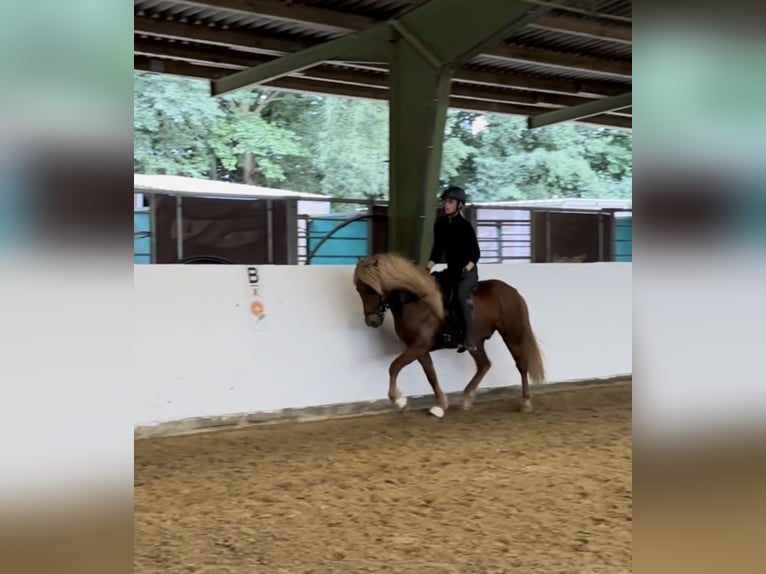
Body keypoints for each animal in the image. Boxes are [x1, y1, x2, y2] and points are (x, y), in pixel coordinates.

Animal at [353, 252, 545, 418]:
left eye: (371, 289)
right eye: (359, 290)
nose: (372, 321)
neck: (415, 302)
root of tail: (512, 291)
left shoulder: (418, 346)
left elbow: (394, 367)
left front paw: (399, 400)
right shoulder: (419, 349)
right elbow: (431, 375)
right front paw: (440, 406)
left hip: (512, 333)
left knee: (521, 364)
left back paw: (525, 402)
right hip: (475, 342)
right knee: (484, 364)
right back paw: (466, 399)